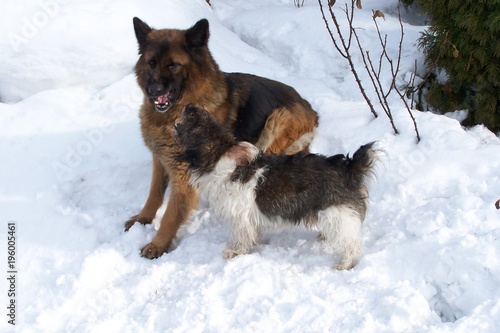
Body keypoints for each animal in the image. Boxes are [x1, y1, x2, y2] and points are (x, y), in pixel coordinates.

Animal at [124, 17, 316, 260]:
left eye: (173, 64)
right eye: (151, 63)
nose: (154, 90)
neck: (173, 113)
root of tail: (311, 110)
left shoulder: (184, 175)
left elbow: (171, 214)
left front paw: (157, 244)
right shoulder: (160, 159)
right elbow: (154, 194)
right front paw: (143, 218)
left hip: (277, 121)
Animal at [175, 105, 376, 268]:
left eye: (196, 121)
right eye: (206, 115)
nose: (189, 105)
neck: (220, 153)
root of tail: (349, 167)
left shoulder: (240, 216)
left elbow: (241, 236)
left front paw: (236, 252)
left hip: (338, 215)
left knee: (352, 244)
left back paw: (345, 264)